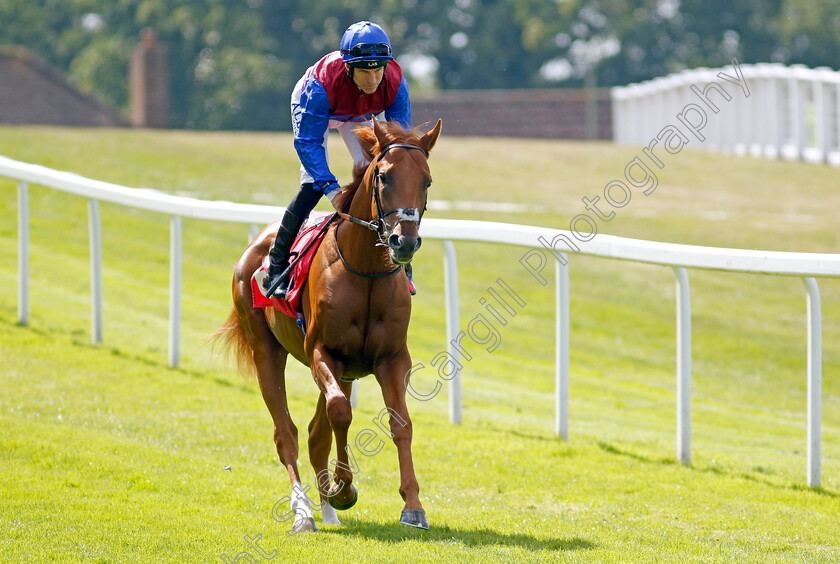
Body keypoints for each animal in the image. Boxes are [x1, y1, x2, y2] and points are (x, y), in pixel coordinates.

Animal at [215, 119, 440, 532]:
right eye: (384, 177)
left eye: (427, 181)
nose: (403, 241)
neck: (365, 270)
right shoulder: (323, 351)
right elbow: (341, 412)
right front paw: (344, 488)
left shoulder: (391, 358)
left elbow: (400, 424)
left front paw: (413, 506)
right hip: (266, 350)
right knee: (285, 432)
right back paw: (304, 510)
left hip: (345, 369)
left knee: (315, 435)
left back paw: (328, 511)